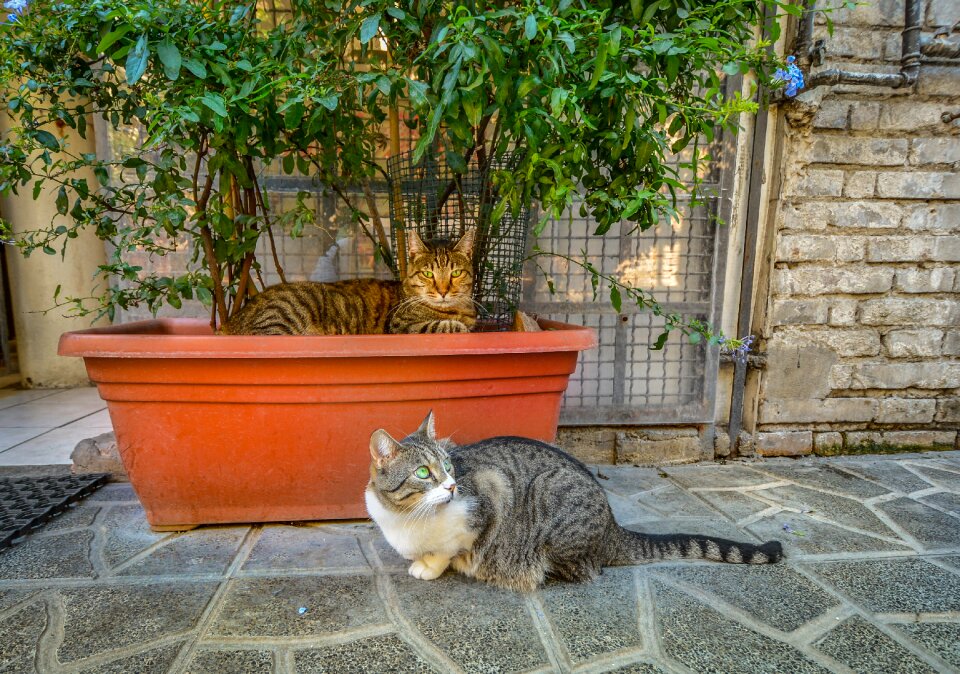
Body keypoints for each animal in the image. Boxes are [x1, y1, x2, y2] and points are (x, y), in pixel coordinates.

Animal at [225, 230, 480, 334]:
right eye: (428, 274)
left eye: (455, 273)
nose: (443, 290)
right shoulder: (400, 325)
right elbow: (441, 325)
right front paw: (457, 326)